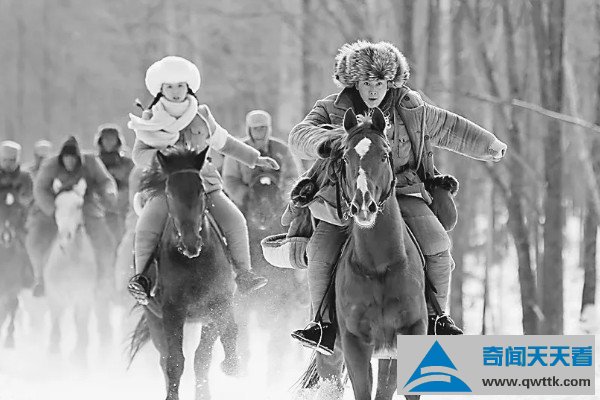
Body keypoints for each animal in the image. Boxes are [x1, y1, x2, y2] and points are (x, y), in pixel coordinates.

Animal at [43, 178, 98, 361]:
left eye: (79, 205)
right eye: (57, 205)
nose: (66, 235)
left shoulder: (84, 295)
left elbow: (81, 325)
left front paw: (79, 355)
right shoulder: (55, 294)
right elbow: (55, 325)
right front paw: (54, 352)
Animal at [129, 147, 240, 400]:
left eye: (201, 190)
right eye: (169, 194)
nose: (191, 243)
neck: (193, 262)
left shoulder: (215, 307)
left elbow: (202, 359)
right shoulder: (172, 312)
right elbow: (175, 362)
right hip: (154, 317)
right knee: (164, 359)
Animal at [236, 169, 308, 382]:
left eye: (276, 192)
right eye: (251, 191)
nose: (262, 215)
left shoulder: (283, 306)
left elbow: (276, 346)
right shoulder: (244, 305)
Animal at [299, 108, 427, 400]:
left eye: (384, 155)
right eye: (345, 158)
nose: (363, 205)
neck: (379, 266)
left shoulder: (408, 334)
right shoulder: (354, 344)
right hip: (332, 355)